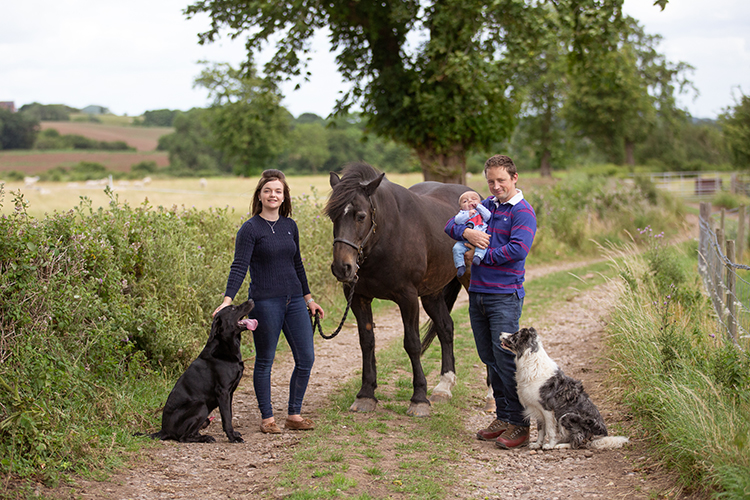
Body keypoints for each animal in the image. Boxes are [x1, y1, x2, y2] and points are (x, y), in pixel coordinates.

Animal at [328, 162, 470, 416]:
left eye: (361, 216)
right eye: (332, 216)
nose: (342, 268)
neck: (387, 235)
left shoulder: (408, 298)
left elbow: (412, 344)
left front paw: (419, 398)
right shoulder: (358, 297)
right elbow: (367, 341)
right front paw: (366, 394)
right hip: (432, 294)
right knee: (445, 328)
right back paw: (444, 387)